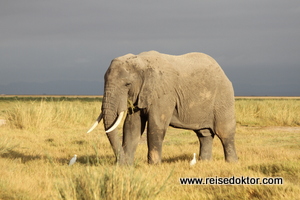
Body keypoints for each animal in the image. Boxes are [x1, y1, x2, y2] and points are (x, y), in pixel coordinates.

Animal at [87, 50, 239, 165]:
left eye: (127, 84)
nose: (119, 162)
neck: (141, 61)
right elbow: (132, 126)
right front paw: (127, 166)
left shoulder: (164, 93)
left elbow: (156, 125)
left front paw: (153, 165)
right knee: (204, 134)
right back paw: (205, 162)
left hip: (223, 98)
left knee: (224, 132)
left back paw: (232, 163)